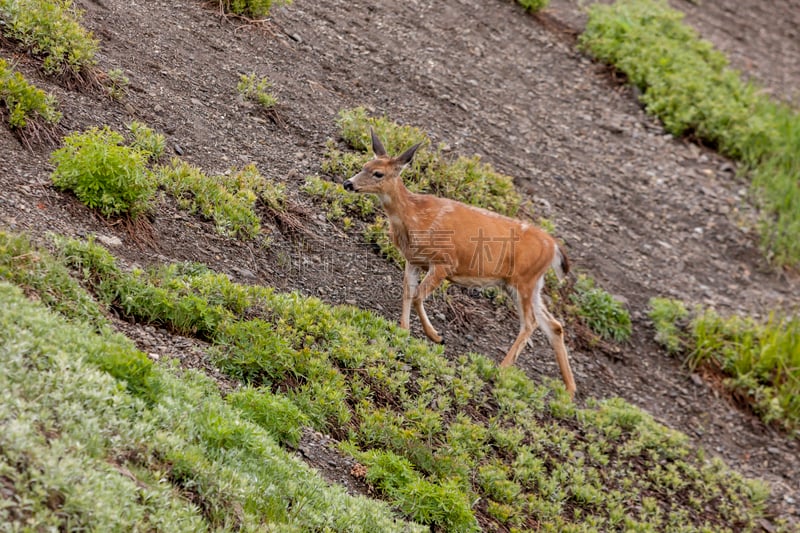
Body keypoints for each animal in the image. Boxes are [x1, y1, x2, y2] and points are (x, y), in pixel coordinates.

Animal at [342, 129, 576, 394]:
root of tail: (554, 246)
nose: (348, 183)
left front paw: (436, 336)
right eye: (364, 165)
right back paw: (569, 391)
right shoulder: (414, 260)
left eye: (378, 173)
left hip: (523, 280)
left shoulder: (445, 262)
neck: (416, 218)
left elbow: (418, 296)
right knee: (554, 324)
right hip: (525, 283)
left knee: (530, 323)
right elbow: (407, 293)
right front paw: (403, 330)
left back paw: (502, 369)